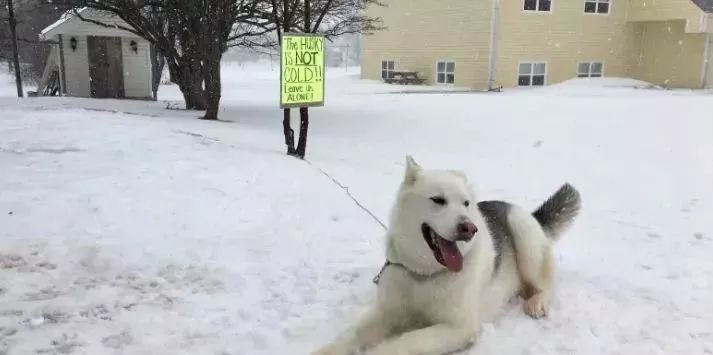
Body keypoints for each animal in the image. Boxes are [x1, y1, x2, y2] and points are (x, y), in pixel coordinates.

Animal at [314, 156, 580, 355]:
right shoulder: (385, 312)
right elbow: (350, 334)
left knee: (545, 285)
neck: (424, 275)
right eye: (438, 200)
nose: (469, 228)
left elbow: (407, 340)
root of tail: (528, 213)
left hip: (523, 232)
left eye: (465, 203)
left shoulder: (458, 328)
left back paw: (537, 301)